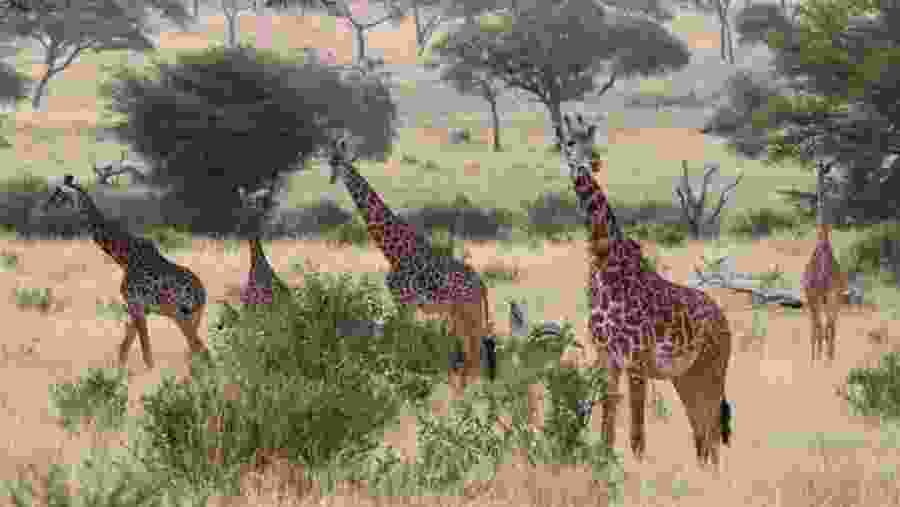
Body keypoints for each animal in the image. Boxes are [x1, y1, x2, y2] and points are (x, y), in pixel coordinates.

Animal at [42, 175, 209, 370]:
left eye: (58, 194)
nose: (44, 207)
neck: (125, 258)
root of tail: (201, 294)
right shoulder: (139, 309)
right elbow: (125, 349)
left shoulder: (136, 304)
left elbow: (145, 354)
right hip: (193, 316)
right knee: (197, 350)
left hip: (178, 314)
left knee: (199, 348)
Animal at [325, 135, 495, 392]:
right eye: (329, 161)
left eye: (339, 161)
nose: (332, 178)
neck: (392, 251)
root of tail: (481, 285)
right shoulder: (408, 305)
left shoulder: (404, 301)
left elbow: (403, 339)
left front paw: (400, 380)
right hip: (461, 314)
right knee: (474, 353)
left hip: (466, 311)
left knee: (475, 353)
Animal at [556, 114, 733, 466]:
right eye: (570, 142)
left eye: (592, 140)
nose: (593, 162)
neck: (604, 262)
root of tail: (724, 321)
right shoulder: (605, 355)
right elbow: (608, 419)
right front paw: (605, 463)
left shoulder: (636, 358)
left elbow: (637, 434)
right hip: (686, 376)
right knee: (702, 434)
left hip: (714, 367)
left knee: (712, 431)